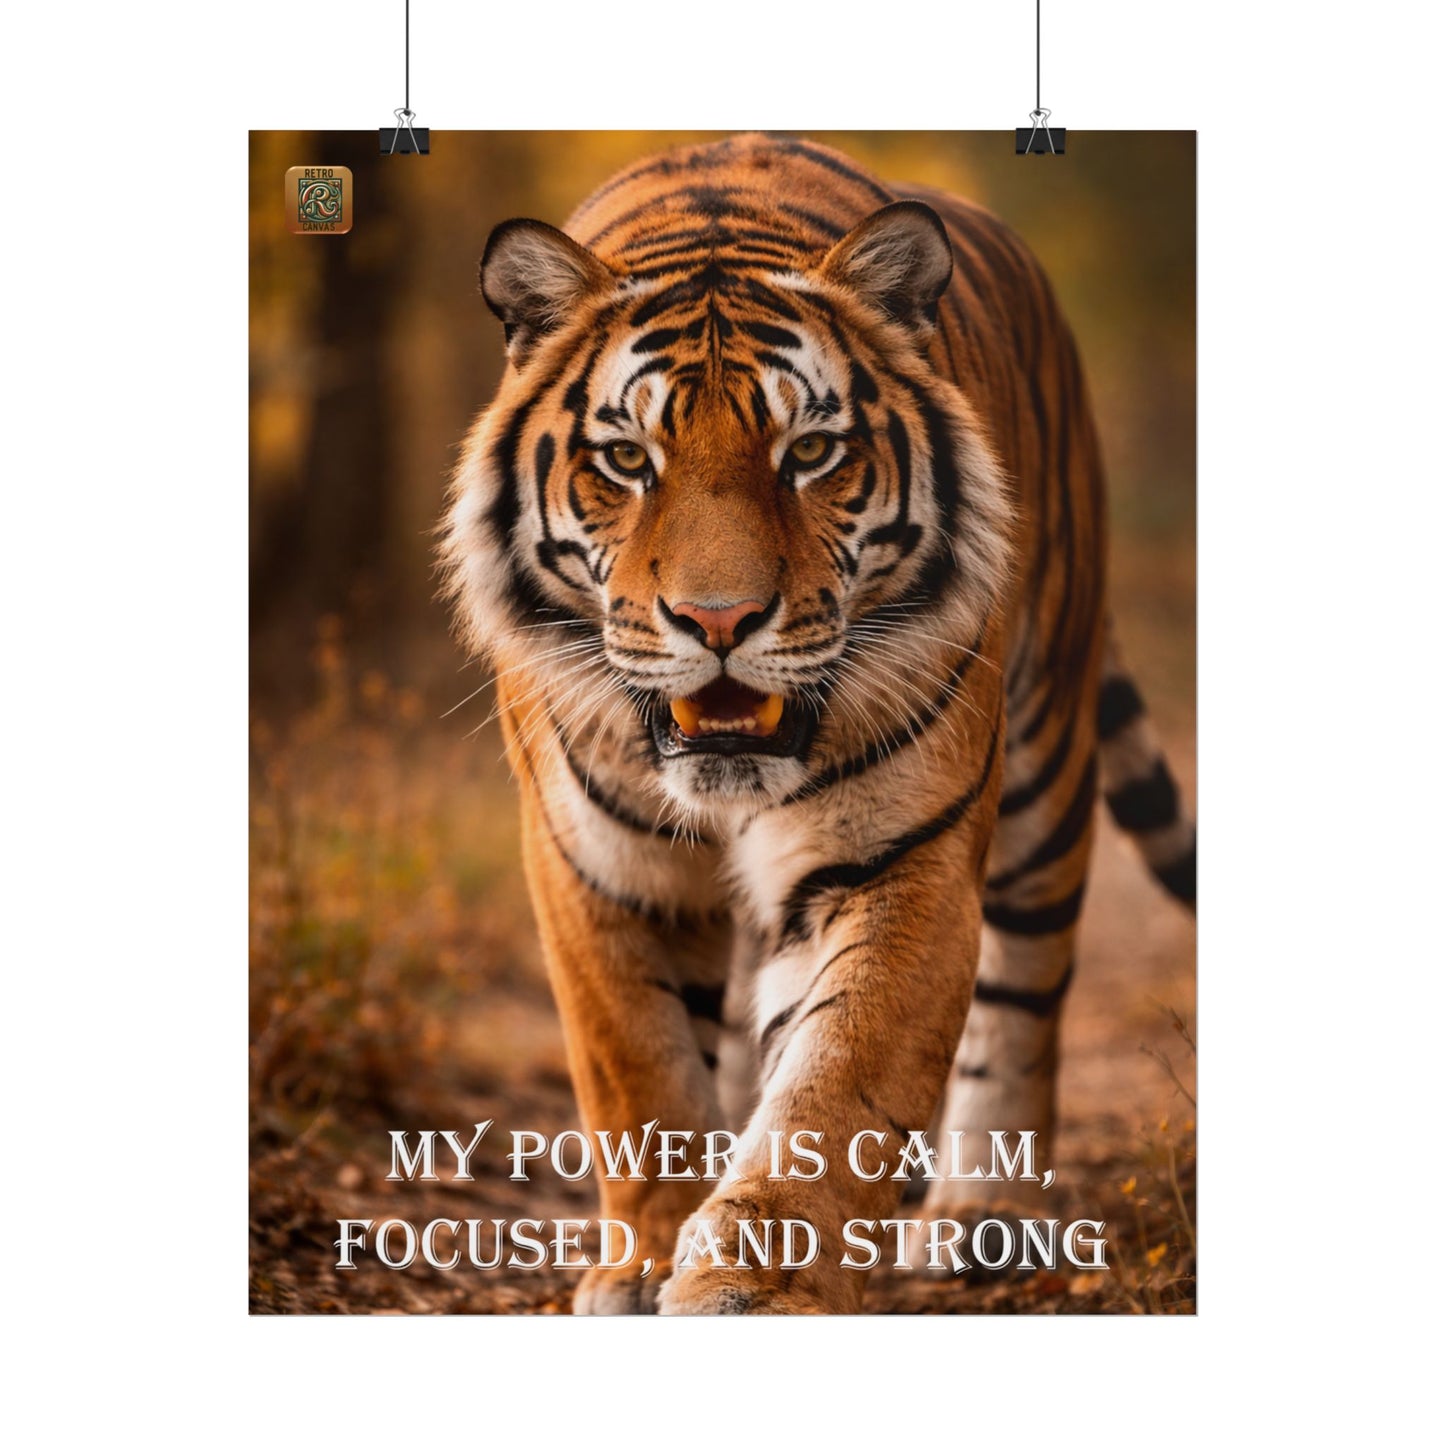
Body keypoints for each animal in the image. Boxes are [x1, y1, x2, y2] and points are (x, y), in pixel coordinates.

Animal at [440, 132, 1195, 1315]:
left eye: (808, 453)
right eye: (627, 460)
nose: (717, 620)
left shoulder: (898, 857)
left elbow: (835, 1085)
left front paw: (755, 1284)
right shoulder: (595, 865)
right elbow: (640, 1068)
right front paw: (644, 1262)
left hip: (1043, 765)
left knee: (1023, 992)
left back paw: (981, 1215)